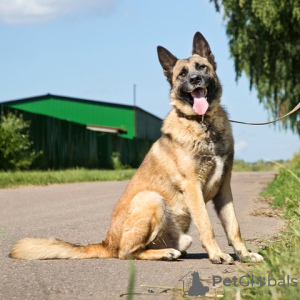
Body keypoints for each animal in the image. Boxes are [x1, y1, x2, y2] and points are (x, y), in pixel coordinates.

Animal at [9, 31, 262, 264]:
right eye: (182, 74)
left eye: (202, 67)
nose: (195, 79)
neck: (204, 124)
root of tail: (107, 242)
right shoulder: (193, 187)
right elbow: (206, 224)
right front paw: (217, 254)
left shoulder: (224, 189)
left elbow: (234, 226)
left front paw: (245, 255)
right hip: (151, 199)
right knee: (127, 253)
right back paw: (164, 253)